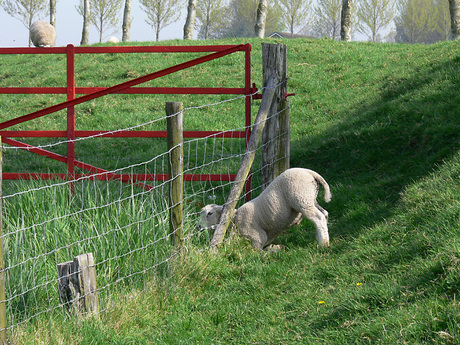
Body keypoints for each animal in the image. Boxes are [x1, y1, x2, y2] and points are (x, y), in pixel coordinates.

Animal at [198, 168, 330, 249]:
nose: (198, 226)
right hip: (310, 199)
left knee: (318, 218)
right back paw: (320, 238)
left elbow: (257, 250)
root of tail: (309, 172)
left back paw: (323, 243)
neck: (234, 219)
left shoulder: (257, 236)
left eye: (209, 213)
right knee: (325, 214)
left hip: (301, 199)